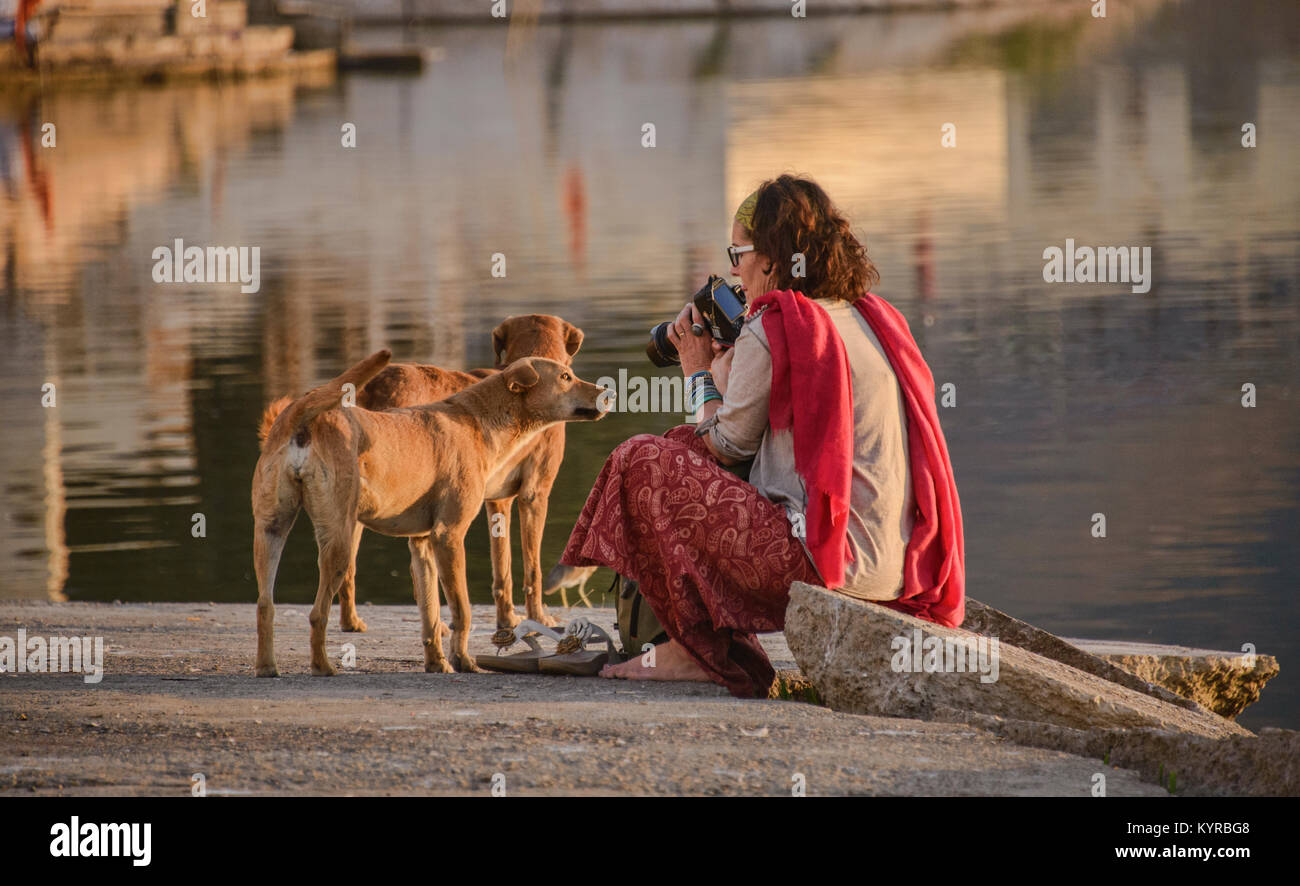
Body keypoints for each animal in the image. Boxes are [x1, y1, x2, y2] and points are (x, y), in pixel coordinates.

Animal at [252, 348, 608, 670]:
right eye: (565, 377)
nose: (609, 391)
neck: (477, 420)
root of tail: (303, 413)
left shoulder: (422, 543)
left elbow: (431, 615)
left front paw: (438, 662)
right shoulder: (449, 535)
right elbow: (461, 611)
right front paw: (464, 661)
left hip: (270, 530)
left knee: (265, 605)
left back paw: (267, 667)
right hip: (339, 539)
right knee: (317, 613)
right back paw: (322, 666)